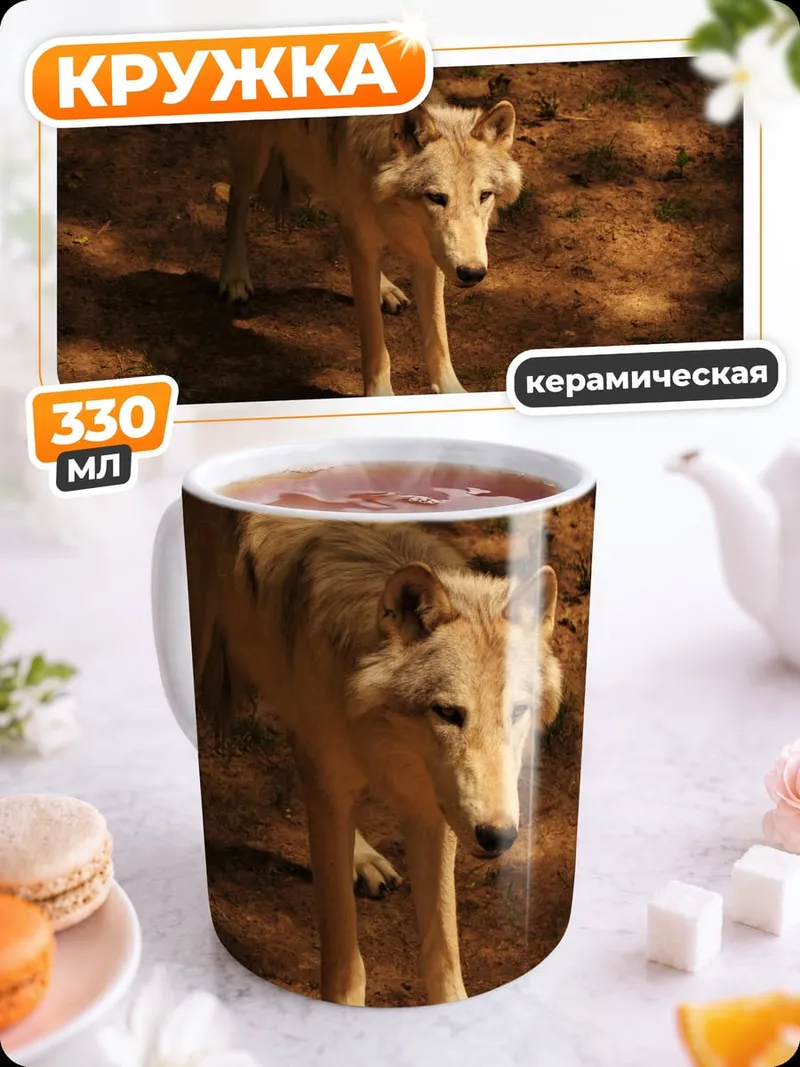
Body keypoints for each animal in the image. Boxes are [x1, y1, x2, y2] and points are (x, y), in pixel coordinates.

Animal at [185, 498, 562, 1006]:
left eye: (517, 711)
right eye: (448, 713)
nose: (497, 837)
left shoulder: (432, 804)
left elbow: (443, 958)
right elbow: (346, 965)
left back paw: (361, 859)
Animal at [218, 88, 524, 397]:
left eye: (484, 195)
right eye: (436, 198)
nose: (473, 273)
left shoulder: (428, 254)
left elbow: (438, 337)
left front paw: (452, 391)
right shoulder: (366, 241)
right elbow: (375, 341)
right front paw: (380, 395)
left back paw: (385, 289)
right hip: (253, 154)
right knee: (237, 203)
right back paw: (234, 279)